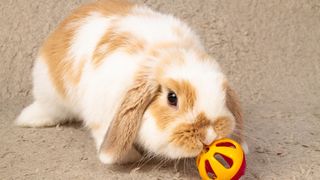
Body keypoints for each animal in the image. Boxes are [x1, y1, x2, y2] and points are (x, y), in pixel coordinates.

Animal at [15, 0, 248, 165]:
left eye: (223, 95)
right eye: (172, 98)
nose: (209, 135)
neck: (164, 55)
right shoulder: (101, 113)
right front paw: (129, 158)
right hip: (50, 92)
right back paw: (29, 119)